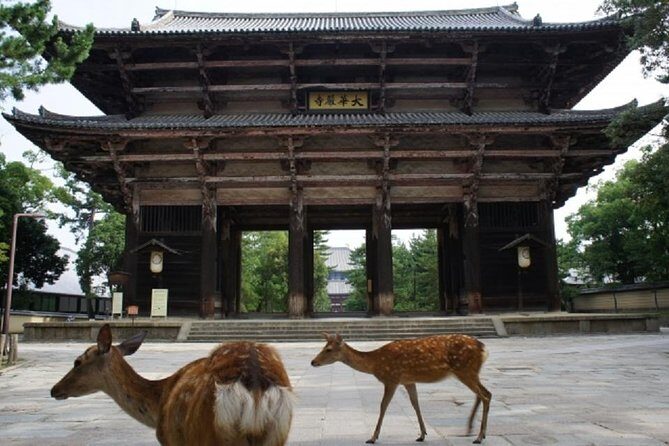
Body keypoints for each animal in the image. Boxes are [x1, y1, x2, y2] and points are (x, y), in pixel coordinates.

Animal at [50, 324, 295, 446]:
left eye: (77, 362)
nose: (54, 390)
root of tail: (255, 385)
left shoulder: (170, 440)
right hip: (276, 435)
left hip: (209, 436)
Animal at [311, 333, 491, 444]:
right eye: (323, 347)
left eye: (328, 349)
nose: (313, 362)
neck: (375, 364)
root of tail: (484, 348)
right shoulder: (408, 381)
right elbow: (415, 404)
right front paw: (422, 435)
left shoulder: (392, 378)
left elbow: (383, 406)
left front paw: (373, 437)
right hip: (470, 372)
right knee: (483, 394)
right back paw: (472, 430)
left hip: (464, 370)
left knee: (485, 395)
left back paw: (479, 437)